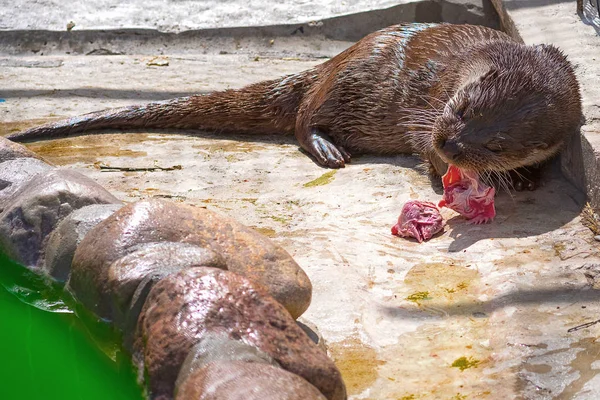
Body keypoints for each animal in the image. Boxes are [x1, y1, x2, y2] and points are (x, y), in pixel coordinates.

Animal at [7, 23, 584, 183]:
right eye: (461, 109)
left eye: (497, 144)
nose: (451, 143)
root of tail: (330, 61)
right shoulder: (431, 103)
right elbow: (420, 136)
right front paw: (443, 168)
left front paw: (521, 178)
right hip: (346, 85)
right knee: (303, 120)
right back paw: (329, 150)